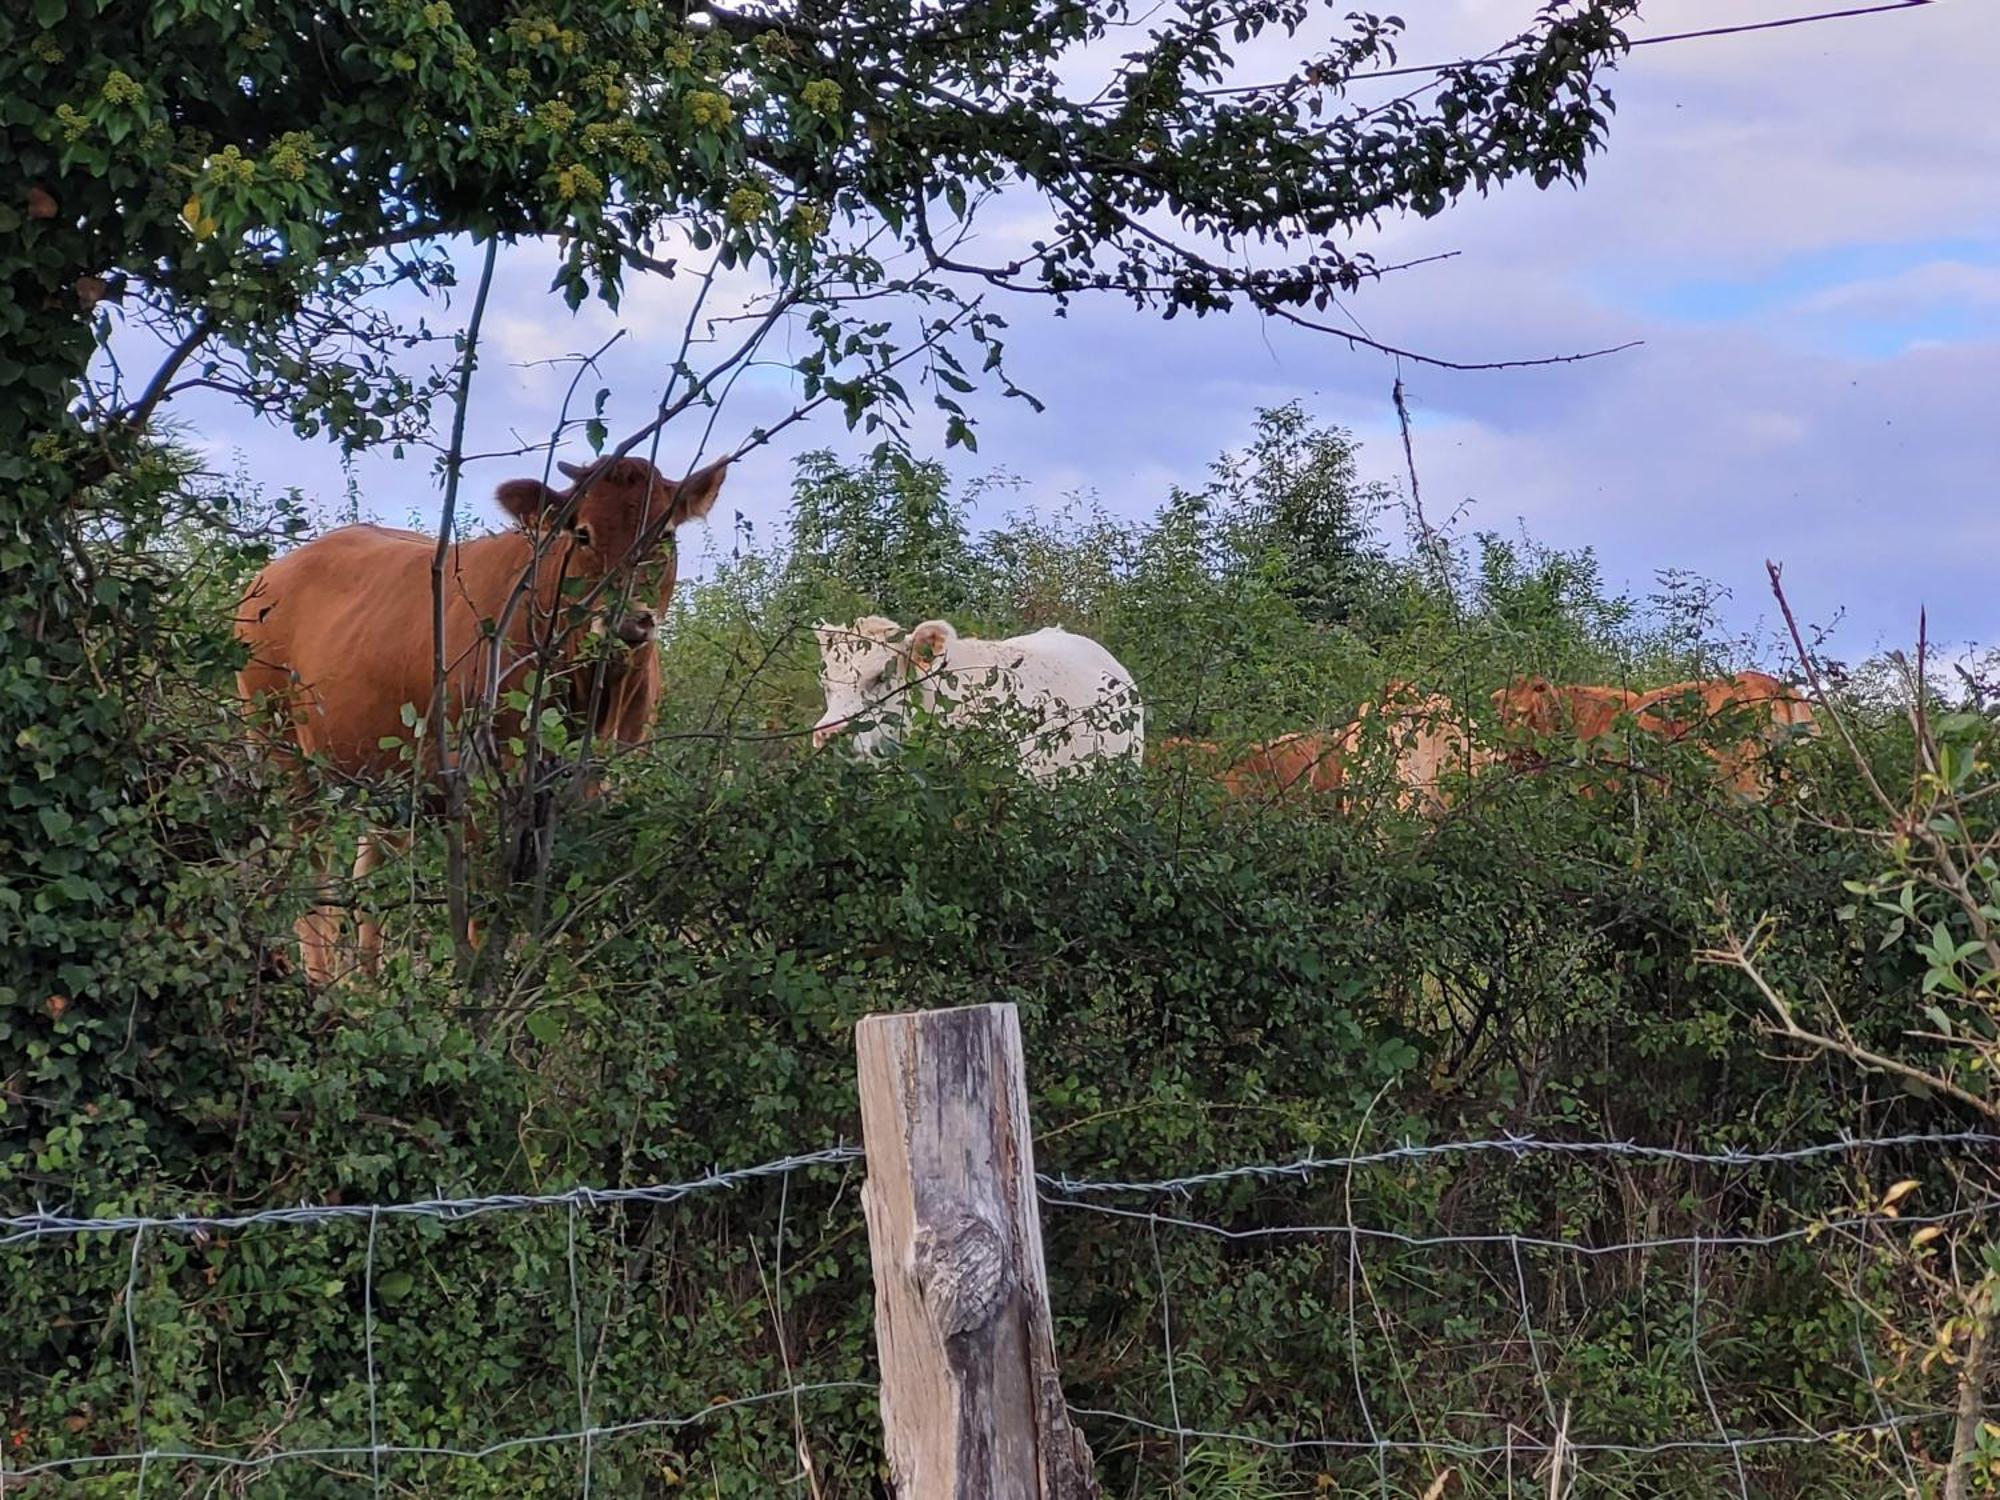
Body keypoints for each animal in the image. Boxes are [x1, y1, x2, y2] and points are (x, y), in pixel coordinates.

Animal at [238, 452, 732, 980]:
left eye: (666, 534)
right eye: (582, 533)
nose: (626, 620)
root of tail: (271, 573)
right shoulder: (477, 785)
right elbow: (480, 915)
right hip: (285, 756)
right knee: (312, 882)